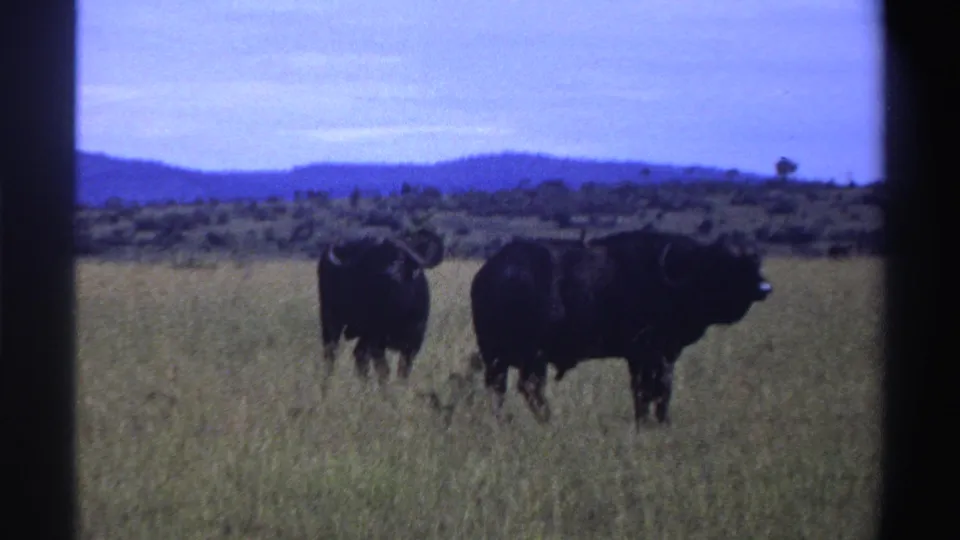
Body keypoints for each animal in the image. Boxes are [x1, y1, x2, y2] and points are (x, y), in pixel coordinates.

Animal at [318, 228, 444, 393]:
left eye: (400, 257)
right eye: (375, 260)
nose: (389, 274)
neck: (398, 311)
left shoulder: (414, 342)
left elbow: (403, 371)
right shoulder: (377, 342)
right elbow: (384, 371)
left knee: (359, 355)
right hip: (331, 321)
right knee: (331, 355)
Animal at [469, 229, 772, 428]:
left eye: (756, 260)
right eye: (726, 263)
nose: (765, 287)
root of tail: (491, 273)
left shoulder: (659, 355)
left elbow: (656, 390)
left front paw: (655, 421)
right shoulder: (647, 354)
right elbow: (649, 389)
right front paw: (652, 423)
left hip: (499, 357)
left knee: (502, 388)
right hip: (530, 355)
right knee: (528, 388)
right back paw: (546, 421)